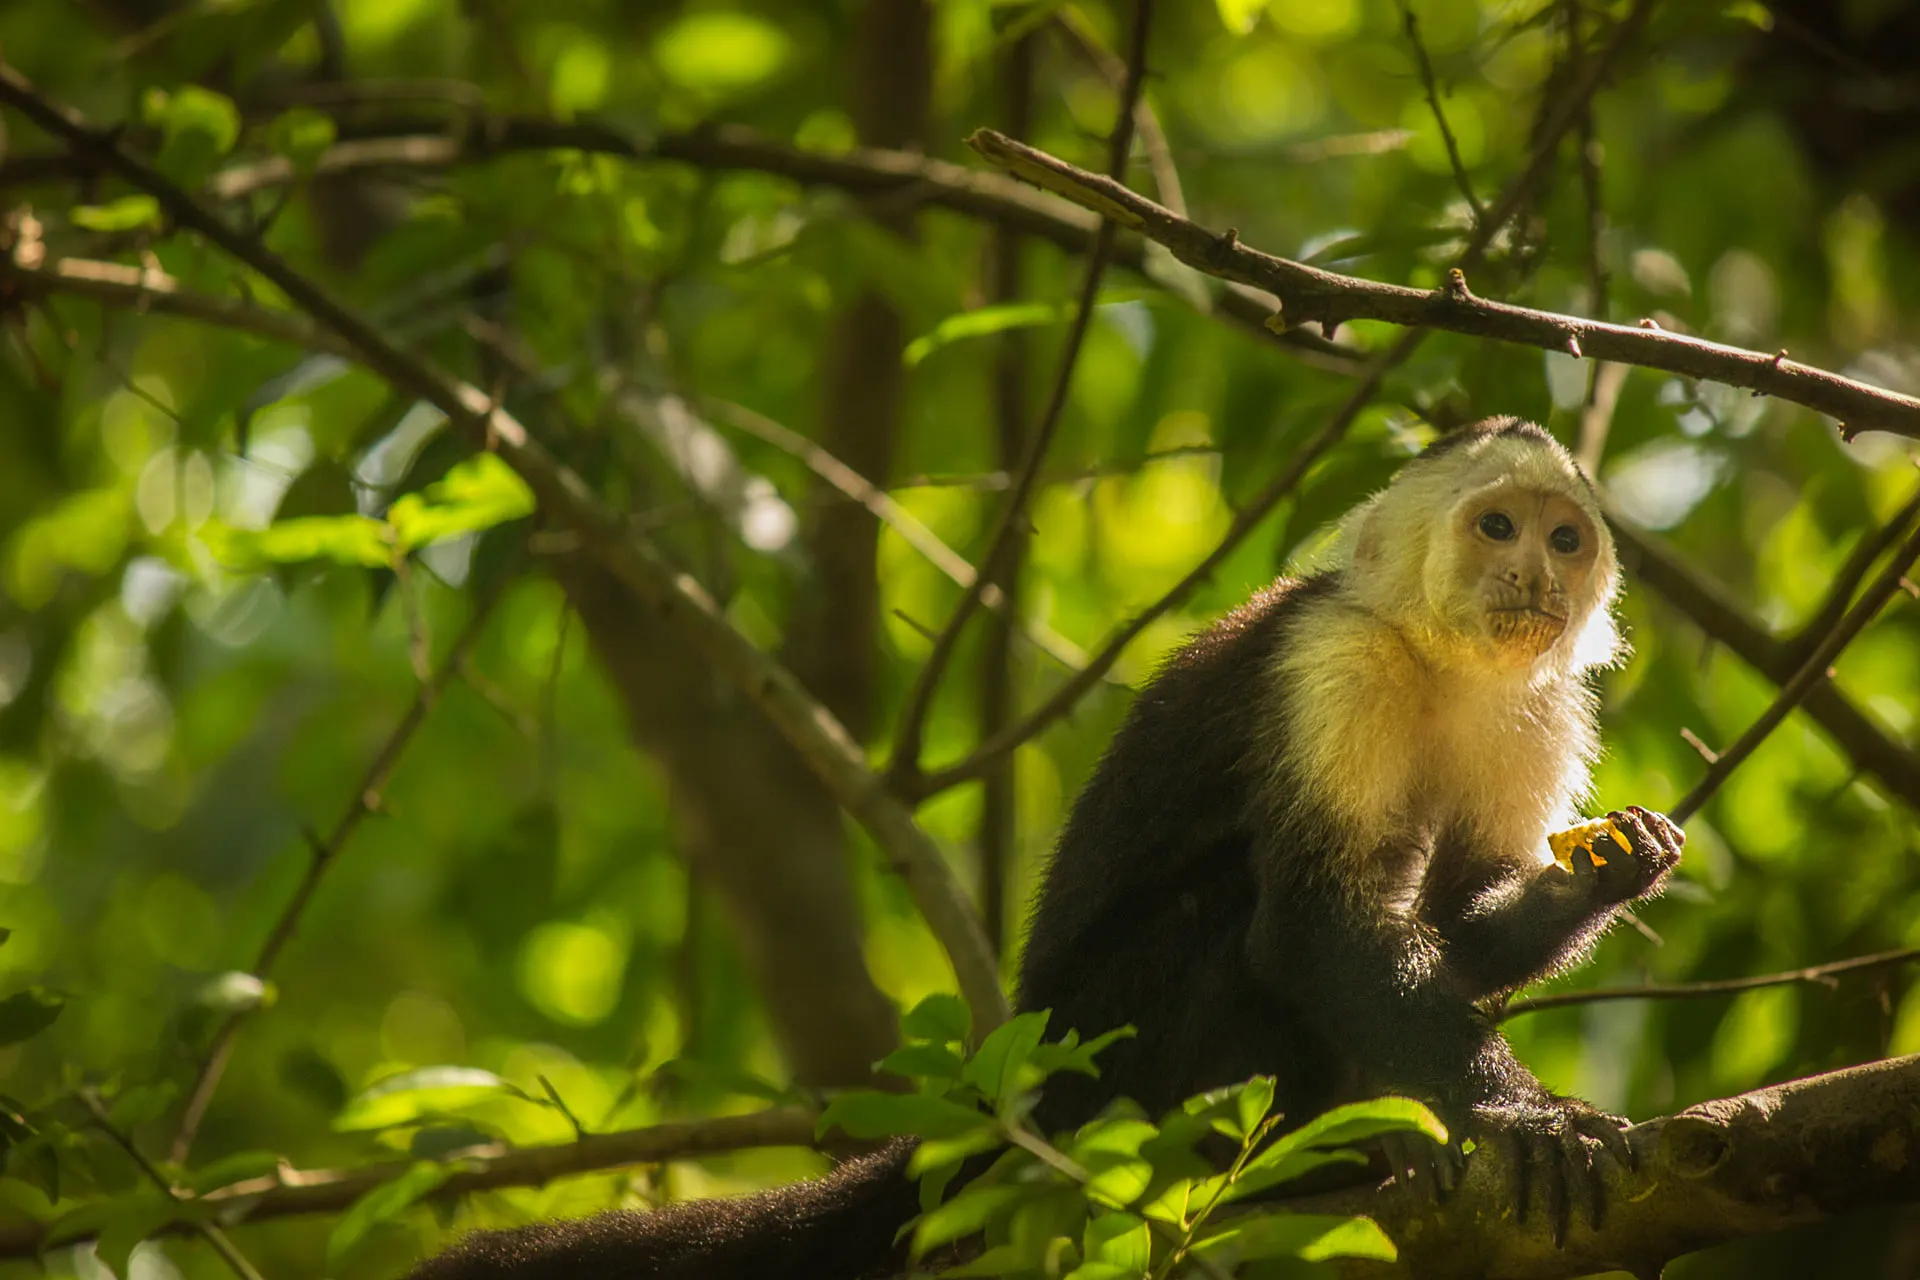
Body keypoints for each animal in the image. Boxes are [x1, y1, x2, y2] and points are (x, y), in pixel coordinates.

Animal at [409, 417, 1683, 1280]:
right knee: (1229, 915)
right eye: (1496, 525)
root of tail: (1016, 1084)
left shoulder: (1541, 715)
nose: (1534, 572)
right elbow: (1324, 923)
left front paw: (1602, 869)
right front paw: (1525, 1118)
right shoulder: (1336, 666)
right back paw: (1321, 1156)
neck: (1439, 663)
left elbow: (1457, 925)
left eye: (1566, 538)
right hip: (1106, 1052)